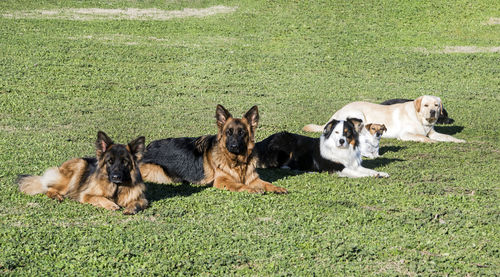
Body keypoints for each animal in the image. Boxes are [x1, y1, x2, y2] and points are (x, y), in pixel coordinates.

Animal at [18, 131, 147, 213]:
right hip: (79, 165)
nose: (116, 177)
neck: (116, 188)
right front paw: (111, 205)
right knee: (48, 188)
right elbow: (100, 198)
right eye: (110, 161)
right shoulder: (86, 195)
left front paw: (130, 208)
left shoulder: (143, 199)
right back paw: (57, 196)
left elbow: (138, 203)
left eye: (125, 162)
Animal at [141, 104, 288, 193]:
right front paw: (252, 189)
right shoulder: (221, 181)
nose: (234, 146)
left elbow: (266, 183)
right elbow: (240, 185)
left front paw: (277, 188)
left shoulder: (254, 179)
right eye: (229, 132)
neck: (237, 163)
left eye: (242, 133)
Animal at [256, 117, 388, 177]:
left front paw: (380, 173)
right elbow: (357, 173)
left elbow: (368, 170)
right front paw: (369, 176)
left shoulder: (354, 164)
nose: (341, 141)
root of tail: (263, 142)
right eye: (336, 132)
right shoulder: (336, 167)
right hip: (285, 143)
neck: (341, 150)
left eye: (347, 133)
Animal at [302, 95, 466, 142]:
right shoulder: (405, 134)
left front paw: (459, 140)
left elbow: (446, 137)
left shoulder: (433, 132)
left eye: (436, 105)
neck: (421, 120)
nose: (432, 112)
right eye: (426, 105)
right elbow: (425, 138)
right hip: (358, 114)